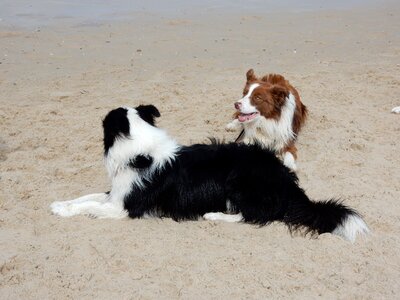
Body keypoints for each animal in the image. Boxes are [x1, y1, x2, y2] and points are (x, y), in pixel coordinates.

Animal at [50, 105, 368, 241]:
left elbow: (89, 206)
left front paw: (66, 211)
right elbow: (86, 197)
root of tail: (286, 180)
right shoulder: (117, 194)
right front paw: (59, 204)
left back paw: (214, 215)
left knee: (254, 215)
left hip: (239, 181)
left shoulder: (126, 208)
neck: (140, 150)